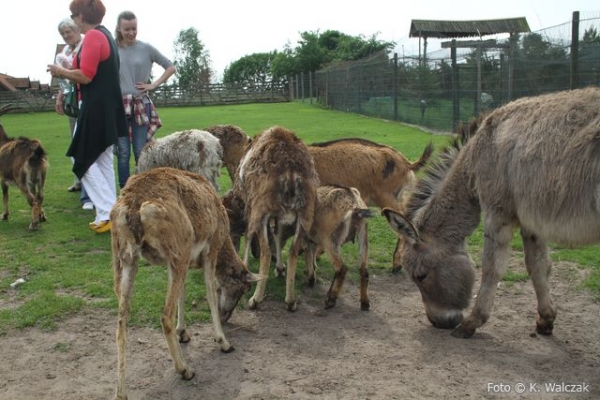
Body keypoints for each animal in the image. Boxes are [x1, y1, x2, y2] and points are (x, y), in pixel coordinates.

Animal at [111, 168, 258, 400]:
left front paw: (184, 334)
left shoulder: (186, 261)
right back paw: (185, 369)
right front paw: (224, 342)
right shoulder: (210, 247)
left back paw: (120, 393)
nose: (226, 316)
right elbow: (210, 291)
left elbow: (184, 291)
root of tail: (135, 210)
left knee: (120, 320)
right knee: (164, 315)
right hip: (179, 247)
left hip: (124, 257)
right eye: (243, 289)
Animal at [234, 126, 318, 310]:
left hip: (262, 207)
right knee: (293, 251)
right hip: (305, 213)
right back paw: (291, 301)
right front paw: (279, 269)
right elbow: (278, 234)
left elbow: (249, 234)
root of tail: (291, 172)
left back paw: (255, 299)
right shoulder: (279, 214)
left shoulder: (251, 206)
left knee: (265, 251)